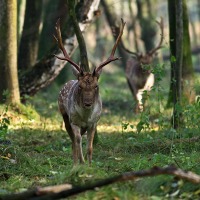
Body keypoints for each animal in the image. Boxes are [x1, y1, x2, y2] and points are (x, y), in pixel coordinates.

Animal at [54, 19, 126, 166]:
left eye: (96, 86)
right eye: (80, 87)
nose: (88, 103)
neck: (85, 117)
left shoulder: (94, 123)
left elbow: (90, 147)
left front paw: (90, 164)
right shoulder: (74, 120)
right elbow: (77, 141)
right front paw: (78, 164)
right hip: (64, 114)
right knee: (73, 139)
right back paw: (76, 161)